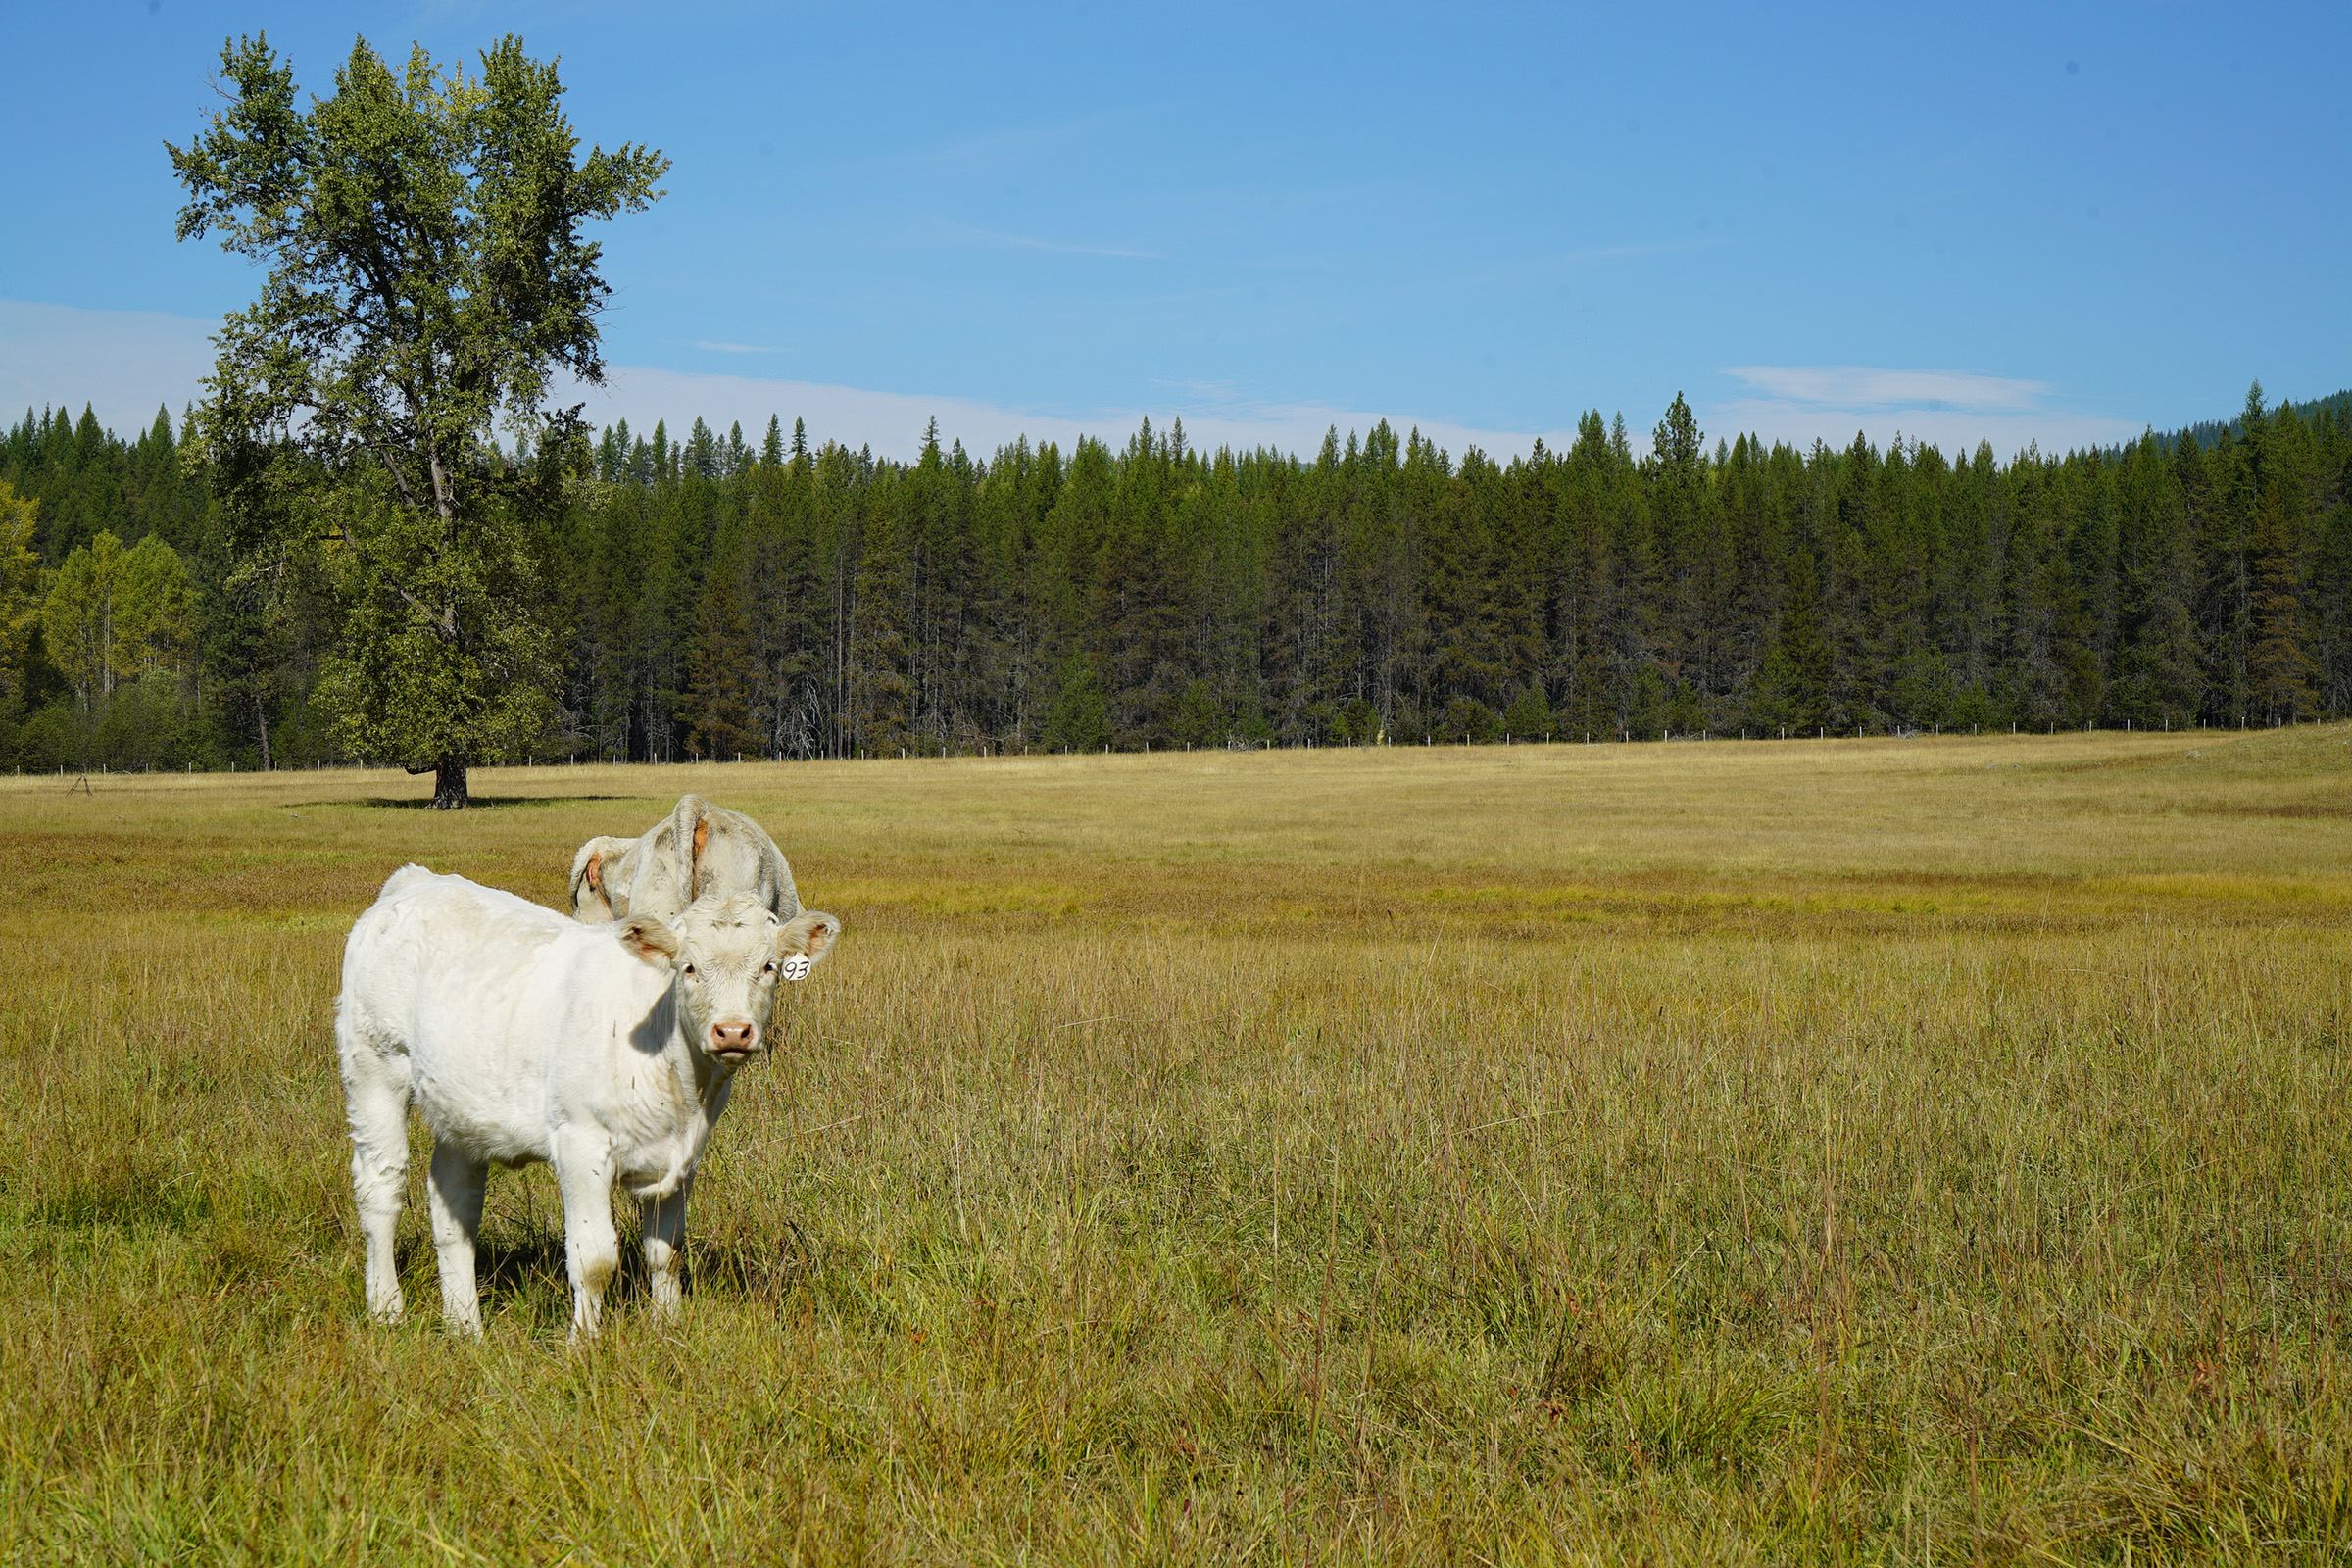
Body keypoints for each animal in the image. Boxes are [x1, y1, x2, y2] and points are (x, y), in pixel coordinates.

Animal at [336, 865, 841, 1338]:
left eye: (770, 967)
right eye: (689, 967)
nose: (733, 1031)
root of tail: (415, 880)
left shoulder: (685, 1158)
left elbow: (667, 1252)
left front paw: (668, 1327)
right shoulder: (580, 1143)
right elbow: (594, 1259)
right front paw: (585, 1342)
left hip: (461, 1109)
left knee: (453, 1204)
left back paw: (465, 1326)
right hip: (373, 1066)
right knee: (381, 1187)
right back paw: (386, 1309)